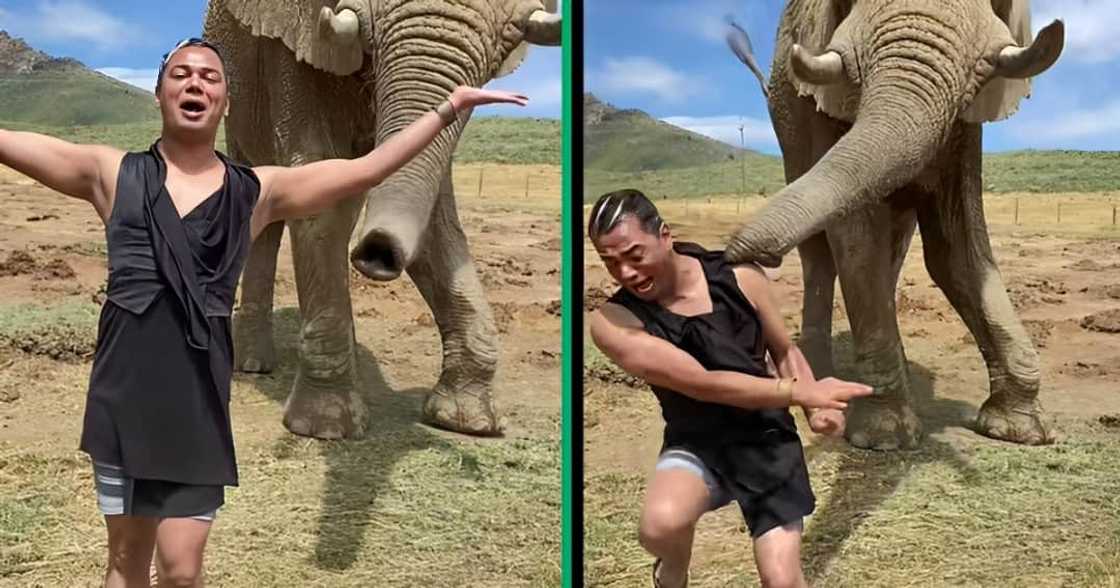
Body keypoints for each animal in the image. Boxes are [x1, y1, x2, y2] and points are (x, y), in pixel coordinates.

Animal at [201, 0, 561, 439]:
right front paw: (325, 426)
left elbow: (433, 212)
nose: (377, 253)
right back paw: (253, 365)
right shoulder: (288, 44)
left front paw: (469, 420)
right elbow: (319, 175)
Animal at [724, 0, 1063, 449]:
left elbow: (957, 251)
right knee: (820, 255)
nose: (734, 257)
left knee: (895, 249)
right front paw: (886, 437)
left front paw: (1018, 429)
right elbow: (856, 240)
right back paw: (818, 371)